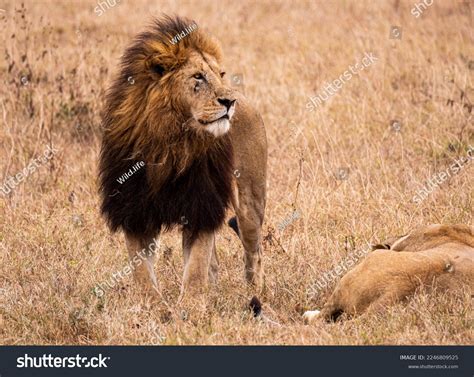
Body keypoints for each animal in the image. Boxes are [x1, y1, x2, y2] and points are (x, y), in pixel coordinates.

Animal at [97, 16, 266, 302]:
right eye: (198, 76)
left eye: (220, 74)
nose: (229, 101)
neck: (169, 141)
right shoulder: (134, 210)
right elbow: (142, 272)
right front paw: (152, 306)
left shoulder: (202, 204)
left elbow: (195, 270)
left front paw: (190, 307)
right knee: (215, 262)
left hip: (250, 205)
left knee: (254, 251)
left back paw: (256, 292)